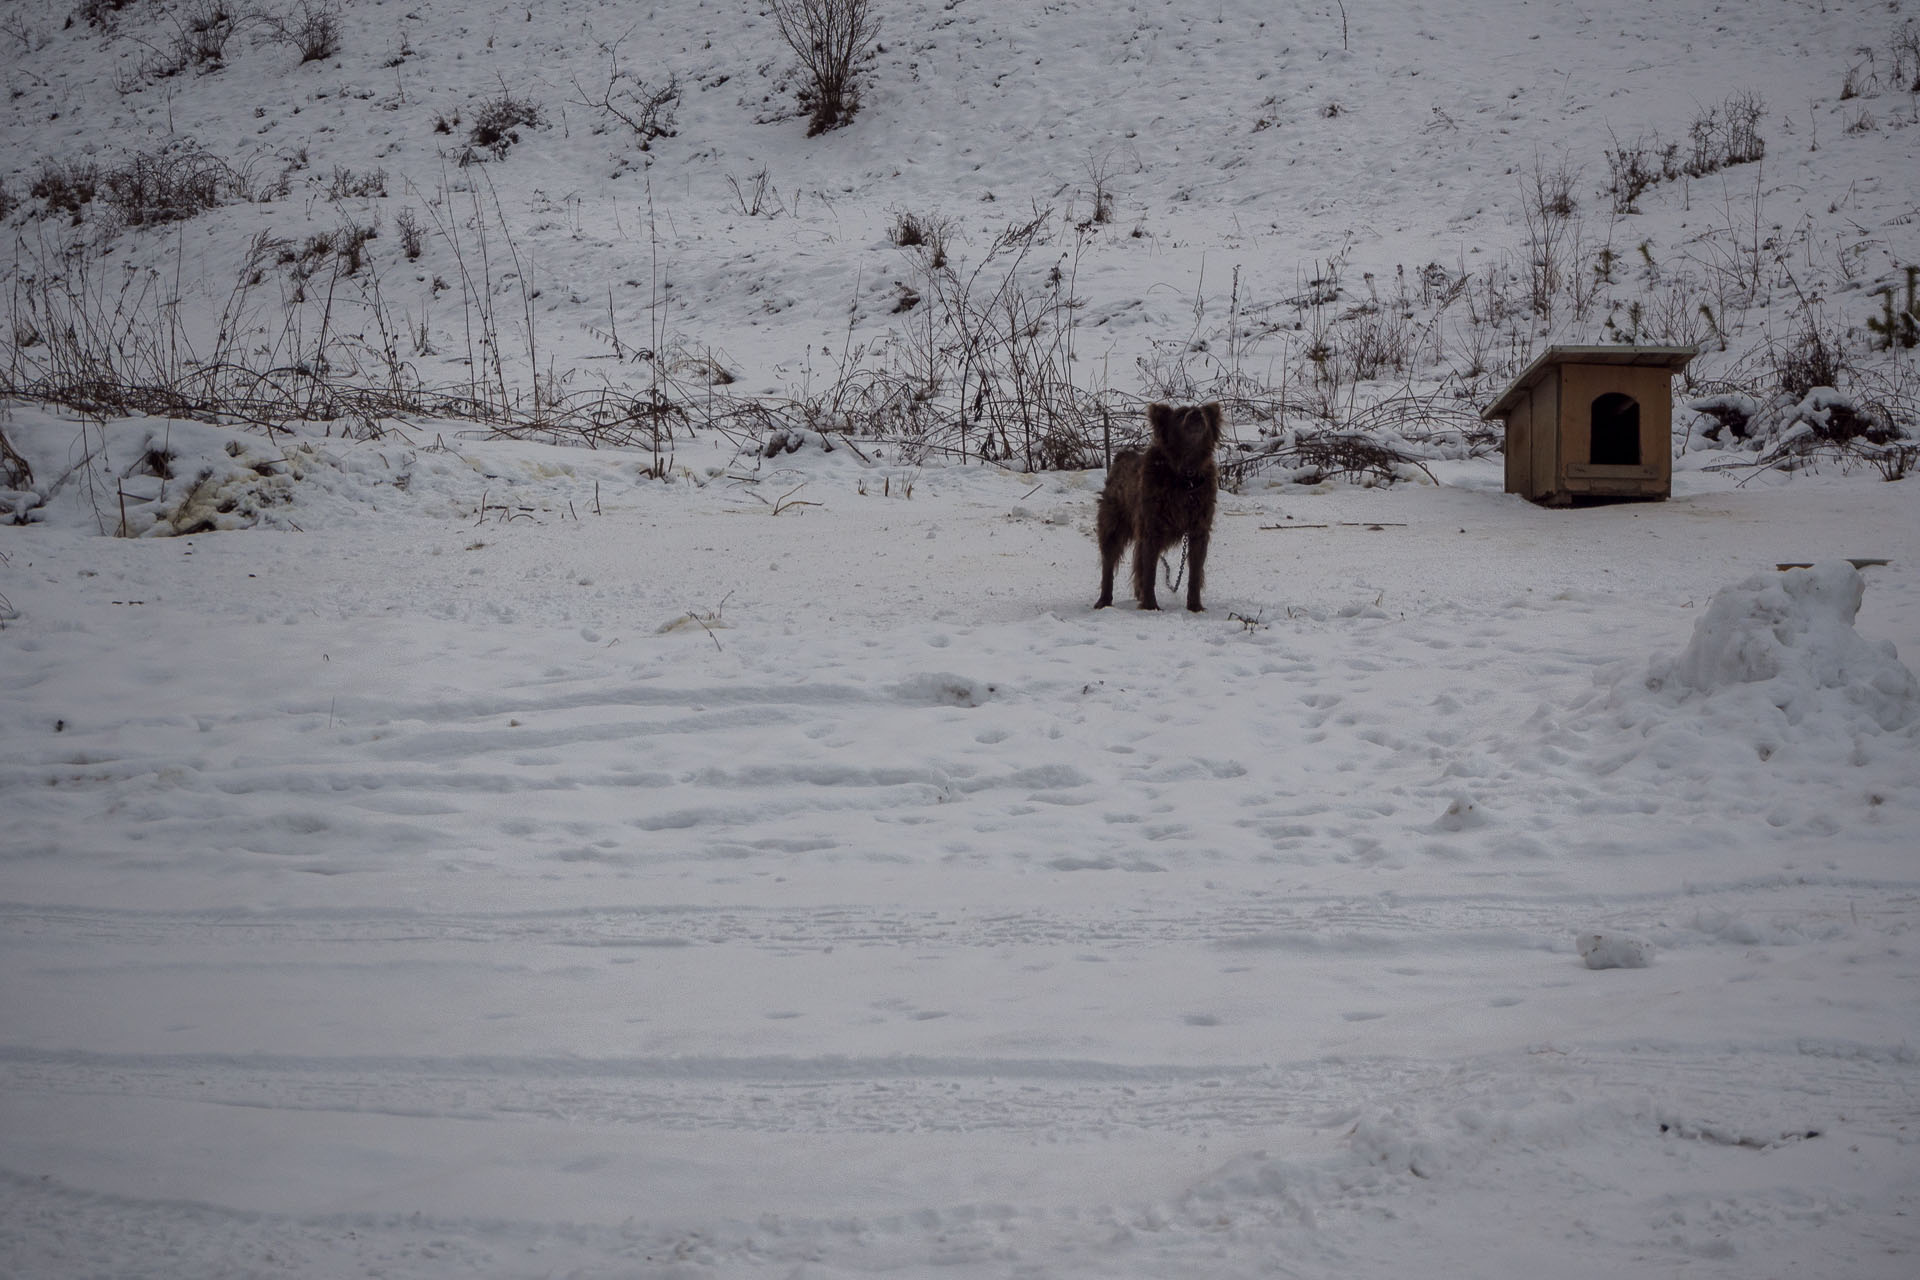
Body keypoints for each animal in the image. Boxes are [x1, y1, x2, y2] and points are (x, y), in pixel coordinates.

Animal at [1090, 404, 1221, 614]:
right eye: (1180, 414)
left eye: (1202, 411)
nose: (1196, 414)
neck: (1186, 476)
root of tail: (1120, 457)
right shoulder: (1152, 529)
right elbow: (1150, 571)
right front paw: (1151, 606)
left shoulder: (1199, 530)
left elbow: (1194, 573)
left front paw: (1195, 606)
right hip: (1113, 524)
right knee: (1109, 563)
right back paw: (1104, 600)